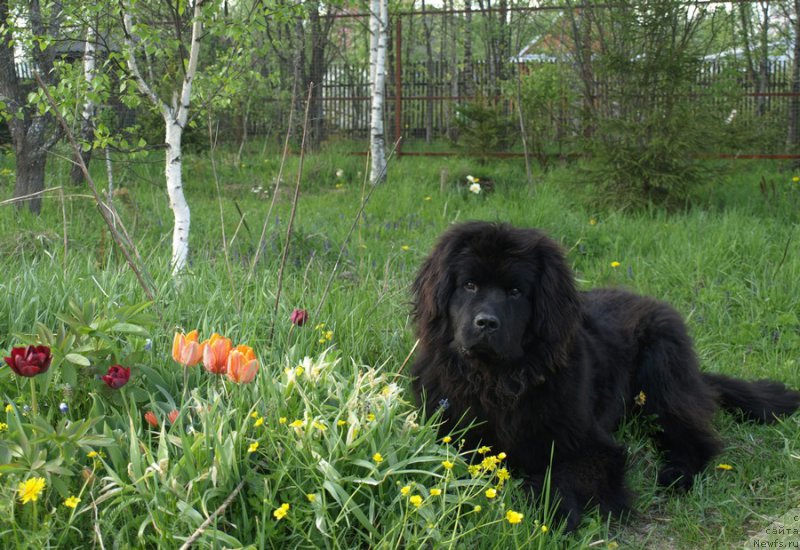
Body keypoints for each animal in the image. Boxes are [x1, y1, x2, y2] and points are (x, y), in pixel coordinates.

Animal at [412, 222, 800, 532]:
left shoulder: (594, 447)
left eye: (516, 291)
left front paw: (555, 515)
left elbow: (558, 476)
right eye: (469, 285)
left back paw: (675, 475)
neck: (498, 380)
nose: (486, 323)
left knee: (693, 436)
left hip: (661, 375)